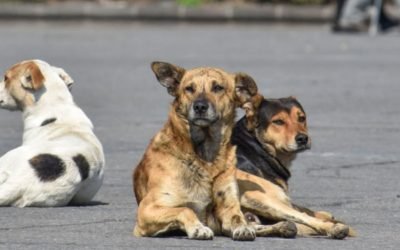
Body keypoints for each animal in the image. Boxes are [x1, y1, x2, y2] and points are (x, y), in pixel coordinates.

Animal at [233, 95, 354, 238]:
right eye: (278, 122)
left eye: (301, 118)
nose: (303, 138)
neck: (255, 145)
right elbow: (304, 211)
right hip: (259, 198)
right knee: (303, 217)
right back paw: (334, 228)